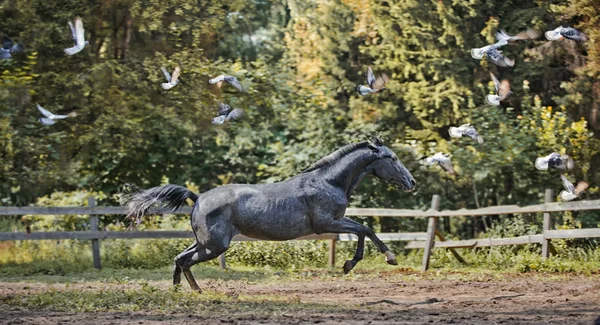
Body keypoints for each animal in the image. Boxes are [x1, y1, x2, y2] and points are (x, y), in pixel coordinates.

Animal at [124, 137, 414, 292]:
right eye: (393, 158)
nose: (411, 183)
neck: (329, 182)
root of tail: (197, 198)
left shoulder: (333, 223)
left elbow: (364, 229)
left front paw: (356, 263)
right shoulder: (326, 224)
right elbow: (365, 229)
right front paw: (380, 259)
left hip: (204, 242)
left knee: (179, 258)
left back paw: (181, 292)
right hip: (214, 245)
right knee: (184, 261)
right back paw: (195, 292)